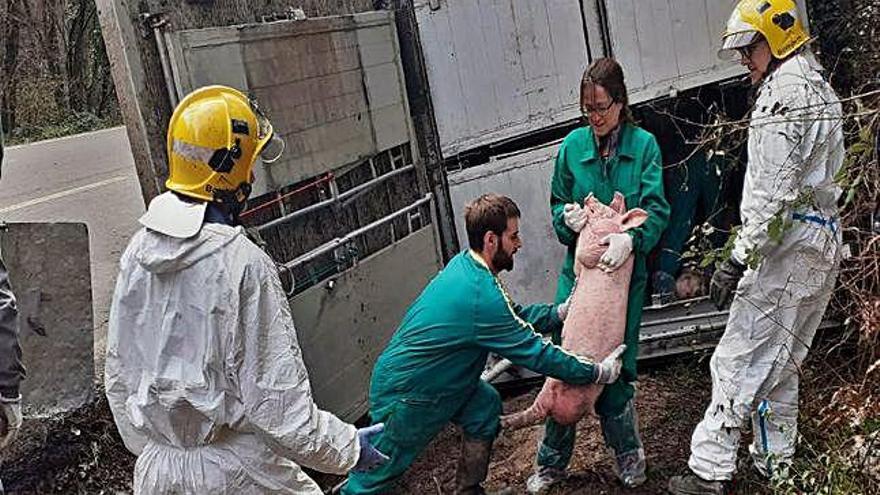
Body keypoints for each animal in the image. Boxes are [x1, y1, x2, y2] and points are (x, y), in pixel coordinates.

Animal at [502, 192, 648, 432]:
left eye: (605, 211)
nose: (590, 196)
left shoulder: (592, 252)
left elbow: (582, 257)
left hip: (552, 382)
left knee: (535, 409)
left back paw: (503, 420)